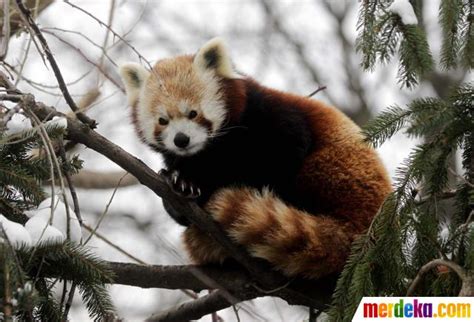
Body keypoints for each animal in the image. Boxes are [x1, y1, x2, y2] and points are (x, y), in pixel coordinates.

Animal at [118, 37, 392, 280]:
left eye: (193, 113)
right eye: (163, 120)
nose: (181, 139)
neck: (211, 151)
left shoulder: (270, 117)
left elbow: (284, 155)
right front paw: (181, 184)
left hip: (339, 172)